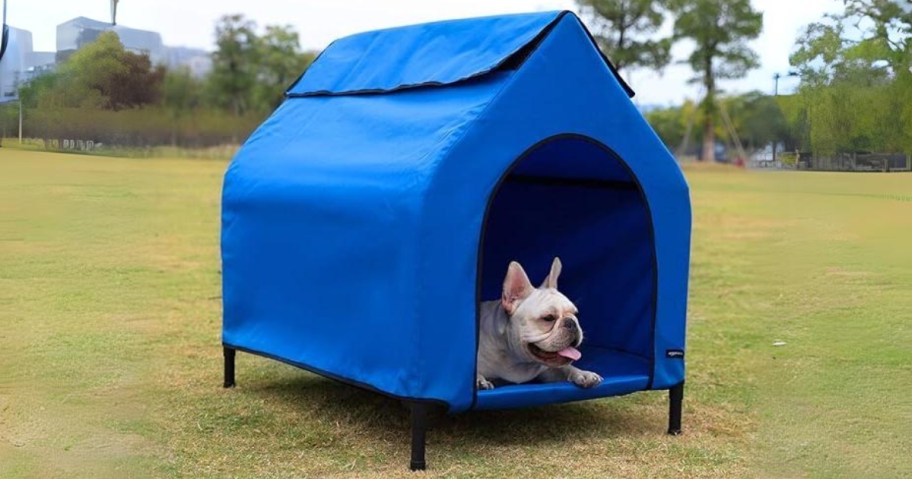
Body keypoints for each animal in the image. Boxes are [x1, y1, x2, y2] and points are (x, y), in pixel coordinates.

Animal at [478, 258, 604, 390]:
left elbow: (566, 368)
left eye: (575, 314)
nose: (571, 323)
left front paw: (583, 373)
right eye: (548, 318)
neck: (518, 360)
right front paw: (479, 380)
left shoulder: (549, 370)